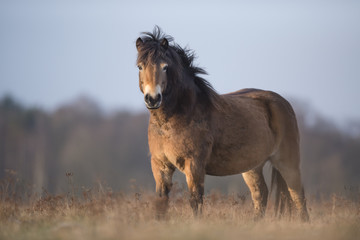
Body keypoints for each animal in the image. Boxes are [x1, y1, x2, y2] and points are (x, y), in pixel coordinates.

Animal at [135, 26, 310, 221]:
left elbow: (195, 200)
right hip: (252, 166)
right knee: (261, 193)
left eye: (165, 67)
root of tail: (282, 102)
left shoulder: (194, 165)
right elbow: (161, 201)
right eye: (140, 66)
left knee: (297, 194)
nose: (152, 98)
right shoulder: (160, 165)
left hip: (287, 161)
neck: (171, 121)